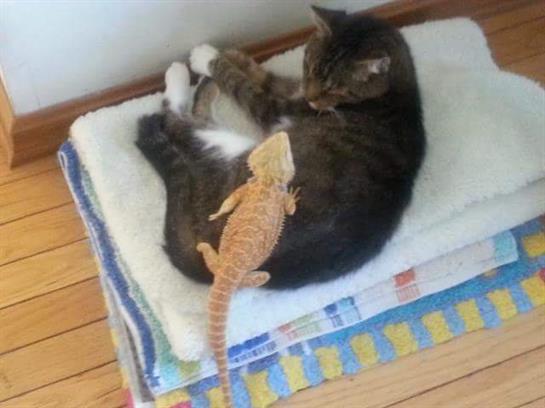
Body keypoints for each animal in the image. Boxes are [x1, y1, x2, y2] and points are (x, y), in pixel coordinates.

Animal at [136, 7, 426, 289]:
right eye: (308, 66)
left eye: (335, 88)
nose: (311, 97)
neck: (394, 94)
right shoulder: (292, 89)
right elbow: (262, 76)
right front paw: (227, 53)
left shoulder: (274, 110)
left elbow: (241, 85)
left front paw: (207, 58)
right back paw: (206, 87)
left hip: (236, 153)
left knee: (178, 122)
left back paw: (180, 78)